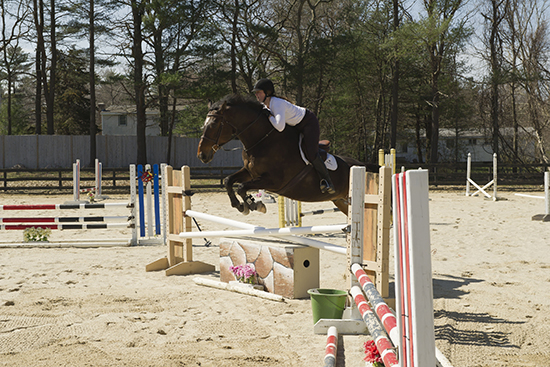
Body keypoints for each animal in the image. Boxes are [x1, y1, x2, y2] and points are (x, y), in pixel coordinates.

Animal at [198, 94, 384, 216]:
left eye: (214, 124)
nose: (202, 155)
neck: (262, 140)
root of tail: (361, 165)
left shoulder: (274, 181)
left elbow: (242, 187)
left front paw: (254, 204)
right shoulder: (250, 172)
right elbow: (229, 181)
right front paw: (241, 205)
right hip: (341, 200)